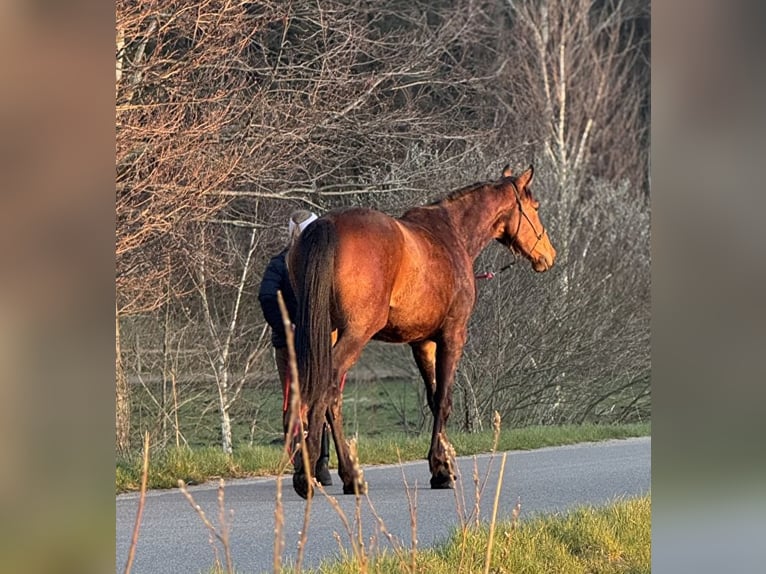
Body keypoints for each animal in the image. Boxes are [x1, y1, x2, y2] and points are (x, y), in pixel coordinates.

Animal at [287, 164, 556, 498]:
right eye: (536, 207)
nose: (548, 255)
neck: (451, 235)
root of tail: (327, 225)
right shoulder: (452, 336)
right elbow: (443, 399)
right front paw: (441, 469)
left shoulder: (422, 342)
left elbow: (432, 396)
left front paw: (441, 463)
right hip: (355, 334)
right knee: (328, 389)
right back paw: (317, 473)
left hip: (327, 334)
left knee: (323, 394)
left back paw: (342, 475)